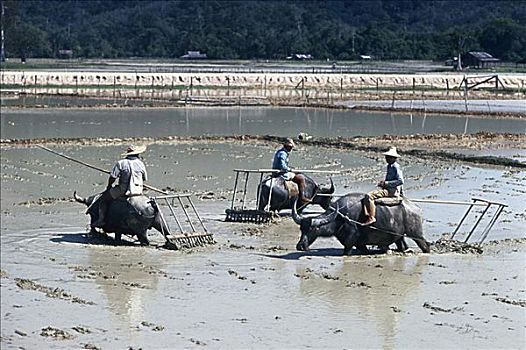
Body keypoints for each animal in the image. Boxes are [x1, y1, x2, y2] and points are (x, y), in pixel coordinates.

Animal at [292, 193, 434, 256]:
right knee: (402, 245)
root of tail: (416, 208)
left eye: (313, 228)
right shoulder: (359, 243)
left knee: (425, 246)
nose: (300, 246)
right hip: (399, 236)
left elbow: (346, 251)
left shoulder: (351, 240)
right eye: (301, 229)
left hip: (416, 233)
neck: (341, 217)